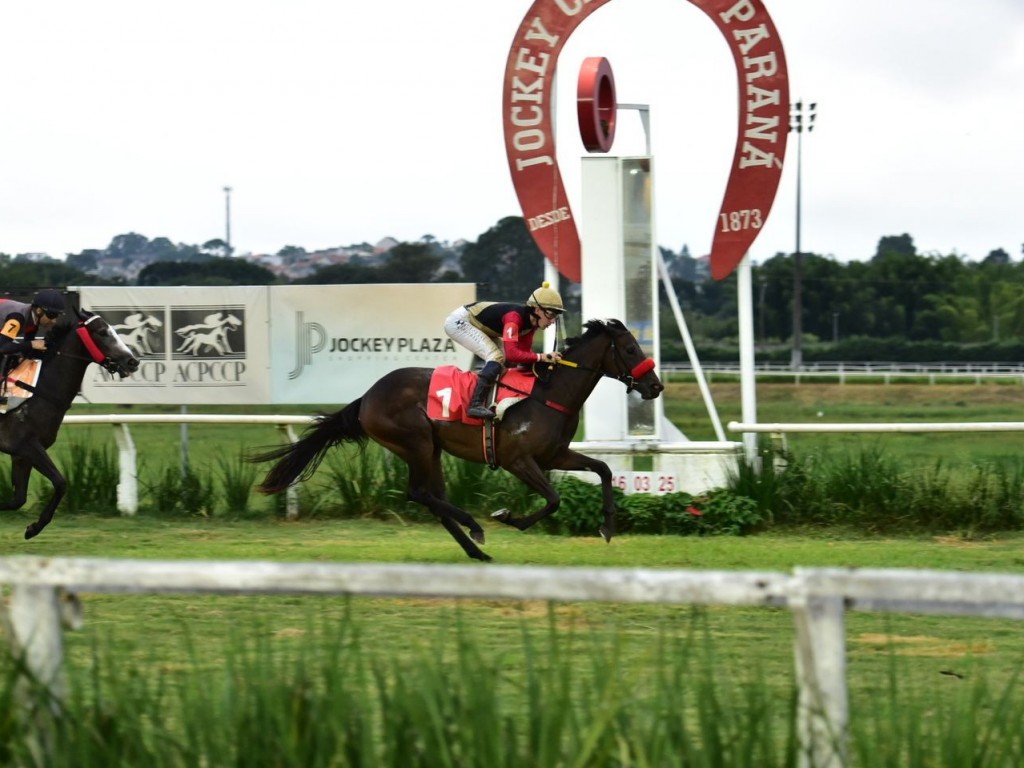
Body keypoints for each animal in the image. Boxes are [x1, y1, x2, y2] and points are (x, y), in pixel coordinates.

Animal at [248, 319, 663, 565]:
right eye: (630, 349)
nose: (655, 386)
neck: (548, 393)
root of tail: (367, 397)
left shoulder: (554, 455)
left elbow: (603, 468)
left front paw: (607, 526)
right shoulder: (518, 460)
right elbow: (553, 499)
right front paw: (508, 517)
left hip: (430, 449)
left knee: (434, 499)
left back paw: (474, 549)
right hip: (414, 442)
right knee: (420, 493)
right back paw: (475, 527)